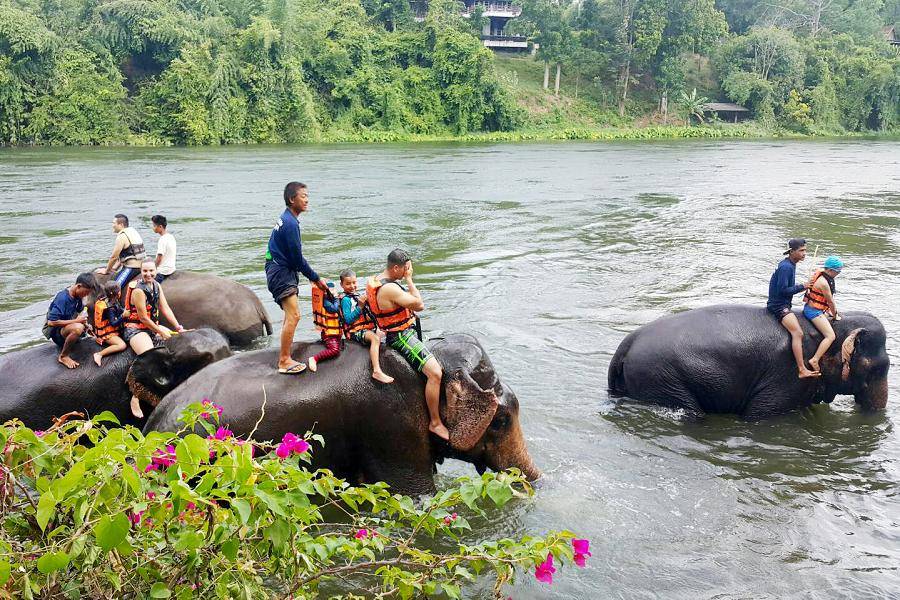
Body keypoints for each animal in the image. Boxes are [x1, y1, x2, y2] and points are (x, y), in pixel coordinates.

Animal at [607, 305, 889, 419]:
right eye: (878, 368)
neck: (832, 326)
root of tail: (625, 345)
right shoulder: (788, 377)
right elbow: (759, 416)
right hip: (661, 378)